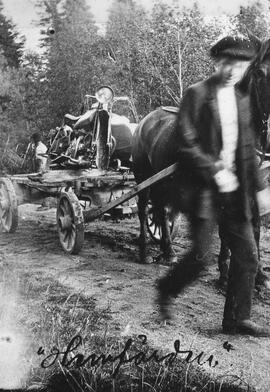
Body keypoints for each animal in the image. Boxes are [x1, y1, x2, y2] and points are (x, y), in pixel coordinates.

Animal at [132, 38, 270, 268]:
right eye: (260, 72)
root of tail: (144, 122)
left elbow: (255, 228)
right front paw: (224, 266)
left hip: (162, 181)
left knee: (160, 210)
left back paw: (167, 251)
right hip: (144, 176)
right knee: (144, 209)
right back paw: (145, 252)